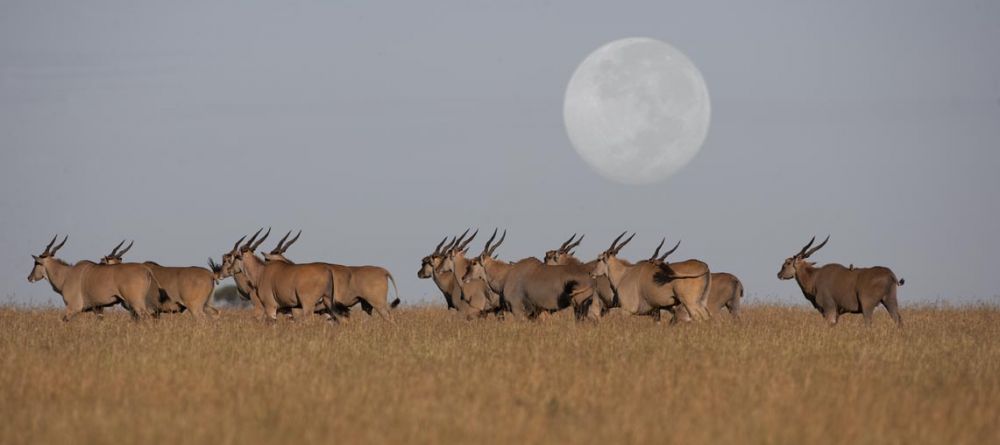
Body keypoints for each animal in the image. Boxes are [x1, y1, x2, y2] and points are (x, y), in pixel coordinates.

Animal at [28, 234, 160, 320]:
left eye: (36, 263)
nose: (29, 277)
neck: (66, 274)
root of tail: (146, 271)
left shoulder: (73, 307)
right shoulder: (98, 309)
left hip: (137, 304)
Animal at [588, 231, 716, 320]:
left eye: (599, 259)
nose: (591, 272)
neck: (624, 274)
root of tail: (704, 265)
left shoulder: (627, 310)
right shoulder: (655, 312)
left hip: (690, 303)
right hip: (701, 301)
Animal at [772, 234, 908, 324]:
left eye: (788, 263)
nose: (779, 274)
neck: (814, 276)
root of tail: (890, 274)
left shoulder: (829, 309)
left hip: (867, 305)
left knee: (869, 322)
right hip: (890, 301)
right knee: (898, 320)